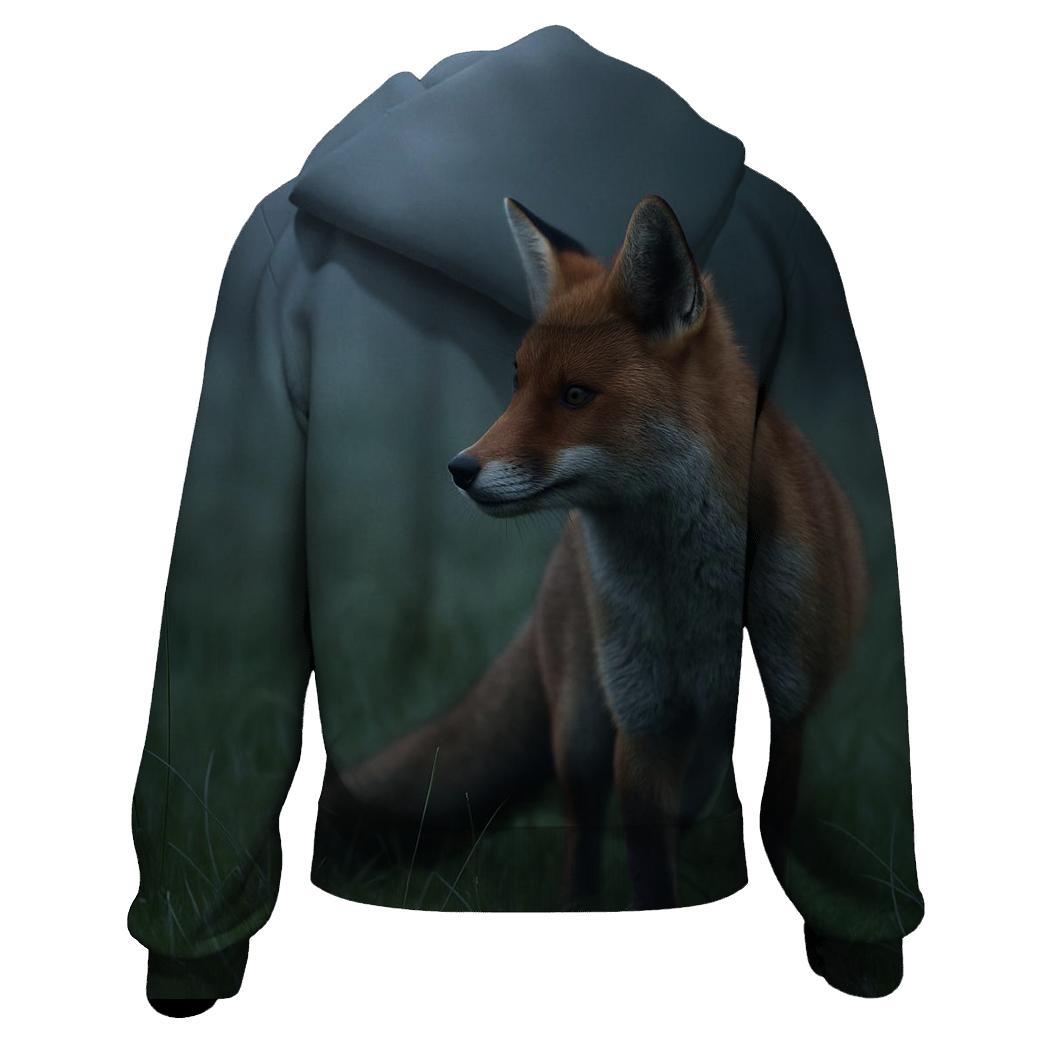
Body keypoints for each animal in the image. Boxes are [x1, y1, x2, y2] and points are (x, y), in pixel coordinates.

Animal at [328, 194, 868, 910]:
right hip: (584, 727)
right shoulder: (642, 728)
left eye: (575, 395)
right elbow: (650, 876)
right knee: (580, 835)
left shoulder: (787, 713)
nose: (459, 469)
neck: (691, 612)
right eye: (518, 385)